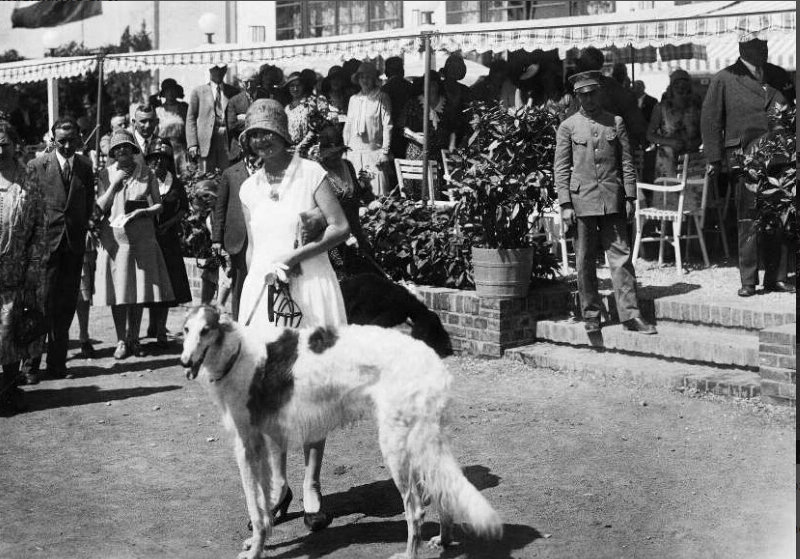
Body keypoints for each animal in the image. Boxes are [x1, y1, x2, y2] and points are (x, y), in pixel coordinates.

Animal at [183, 306, 500, 559]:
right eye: (185, 330)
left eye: (205, 330)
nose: (185, 361)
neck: (236, 353)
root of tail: (434, 361)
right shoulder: (260, 443)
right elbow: (263, 508)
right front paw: (256, 542)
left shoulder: (246, 447)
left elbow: (256, 510)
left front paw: (255, 551)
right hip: (422, 443)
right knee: (442, 491)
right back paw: (443, 540)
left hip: (396, 447)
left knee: (416, 509)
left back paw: (409, 553)